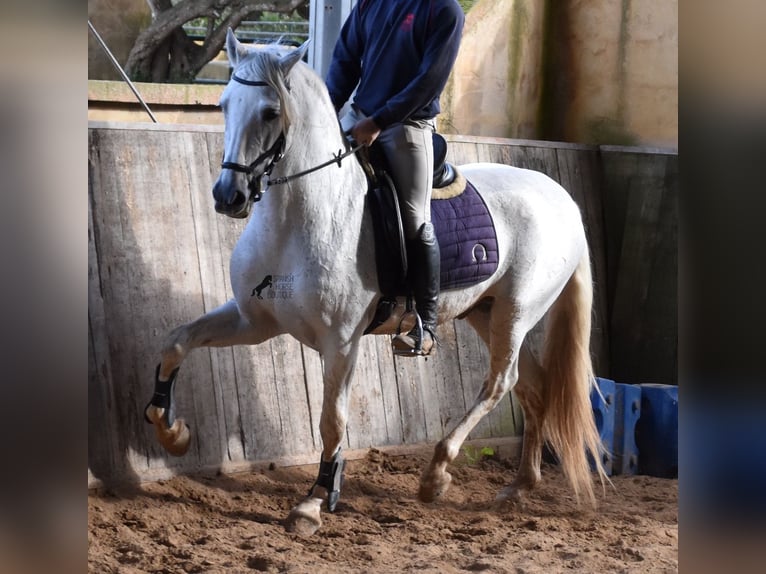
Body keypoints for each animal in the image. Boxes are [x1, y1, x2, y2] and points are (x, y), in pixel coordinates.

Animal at [147, 29, 608, 536]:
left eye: (269, 112)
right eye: (224, 104)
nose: (228, 197)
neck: (299, 218)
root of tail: (561, 197)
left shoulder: (341, 341)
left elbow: (332, 420)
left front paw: (316, 501)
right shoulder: (254, 321)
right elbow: (176, 342)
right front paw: (173, 433)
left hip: (516, 313)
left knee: (501, 383)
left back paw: (436, 475)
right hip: (484, 314)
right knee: (533, 387)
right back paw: (518, 486)